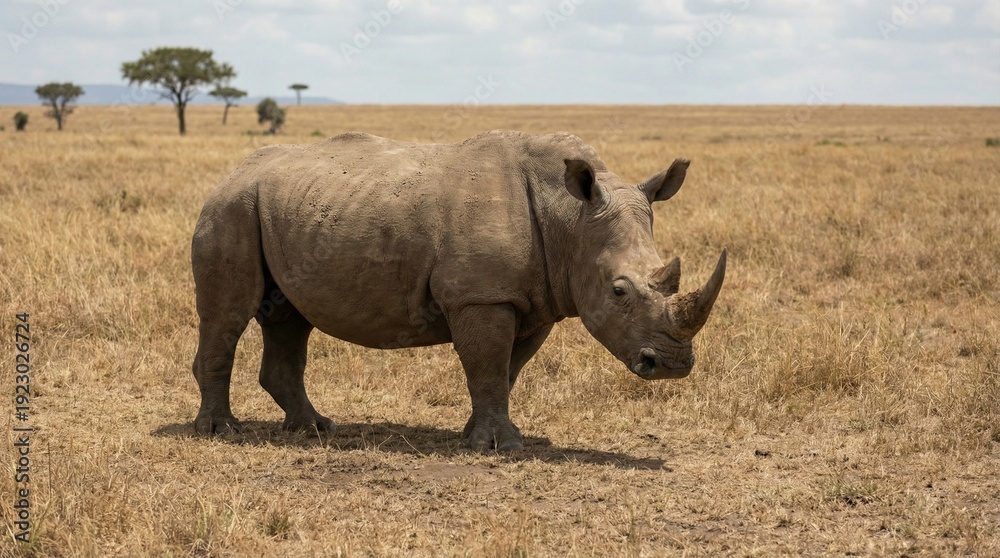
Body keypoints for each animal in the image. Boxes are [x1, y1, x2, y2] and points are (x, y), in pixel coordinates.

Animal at [191, 130, 726, 452]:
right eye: (619, 291)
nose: (672, 366)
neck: (570, 220)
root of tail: (232, 172)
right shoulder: (482, 295)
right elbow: (487, 366)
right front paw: (502, 446)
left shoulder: (533, 299)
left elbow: (506, 370)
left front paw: (480, 436)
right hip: (231, 208)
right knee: (229, 315)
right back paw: (222, 432)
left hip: (284, 209)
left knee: (290, 318)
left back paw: (315, 428)